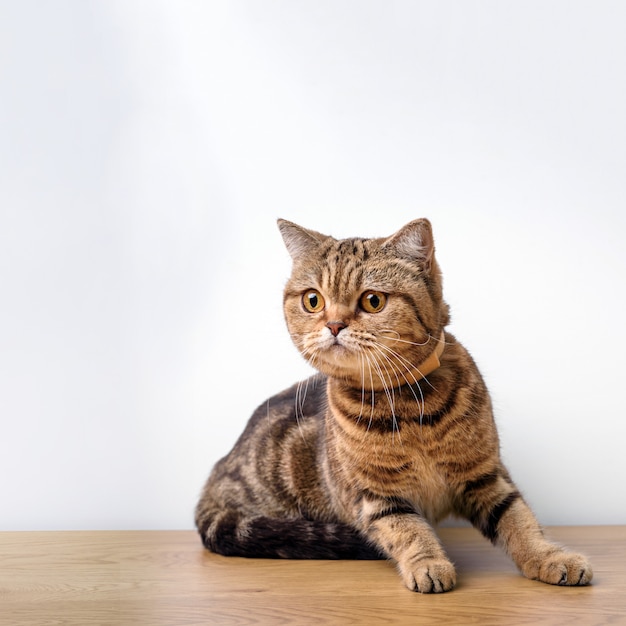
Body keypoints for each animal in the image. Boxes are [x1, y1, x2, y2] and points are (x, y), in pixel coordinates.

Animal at [194, 218, 588, 588]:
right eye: (312, 300)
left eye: (373, 300)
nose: (334, 325)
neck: (409, 408)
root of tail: (215, 474)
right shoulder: (373, 494)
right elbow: (407, 529)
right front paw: (428, 564)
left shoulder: (484, 473)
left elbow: (519, 520)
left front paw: (551, 558)